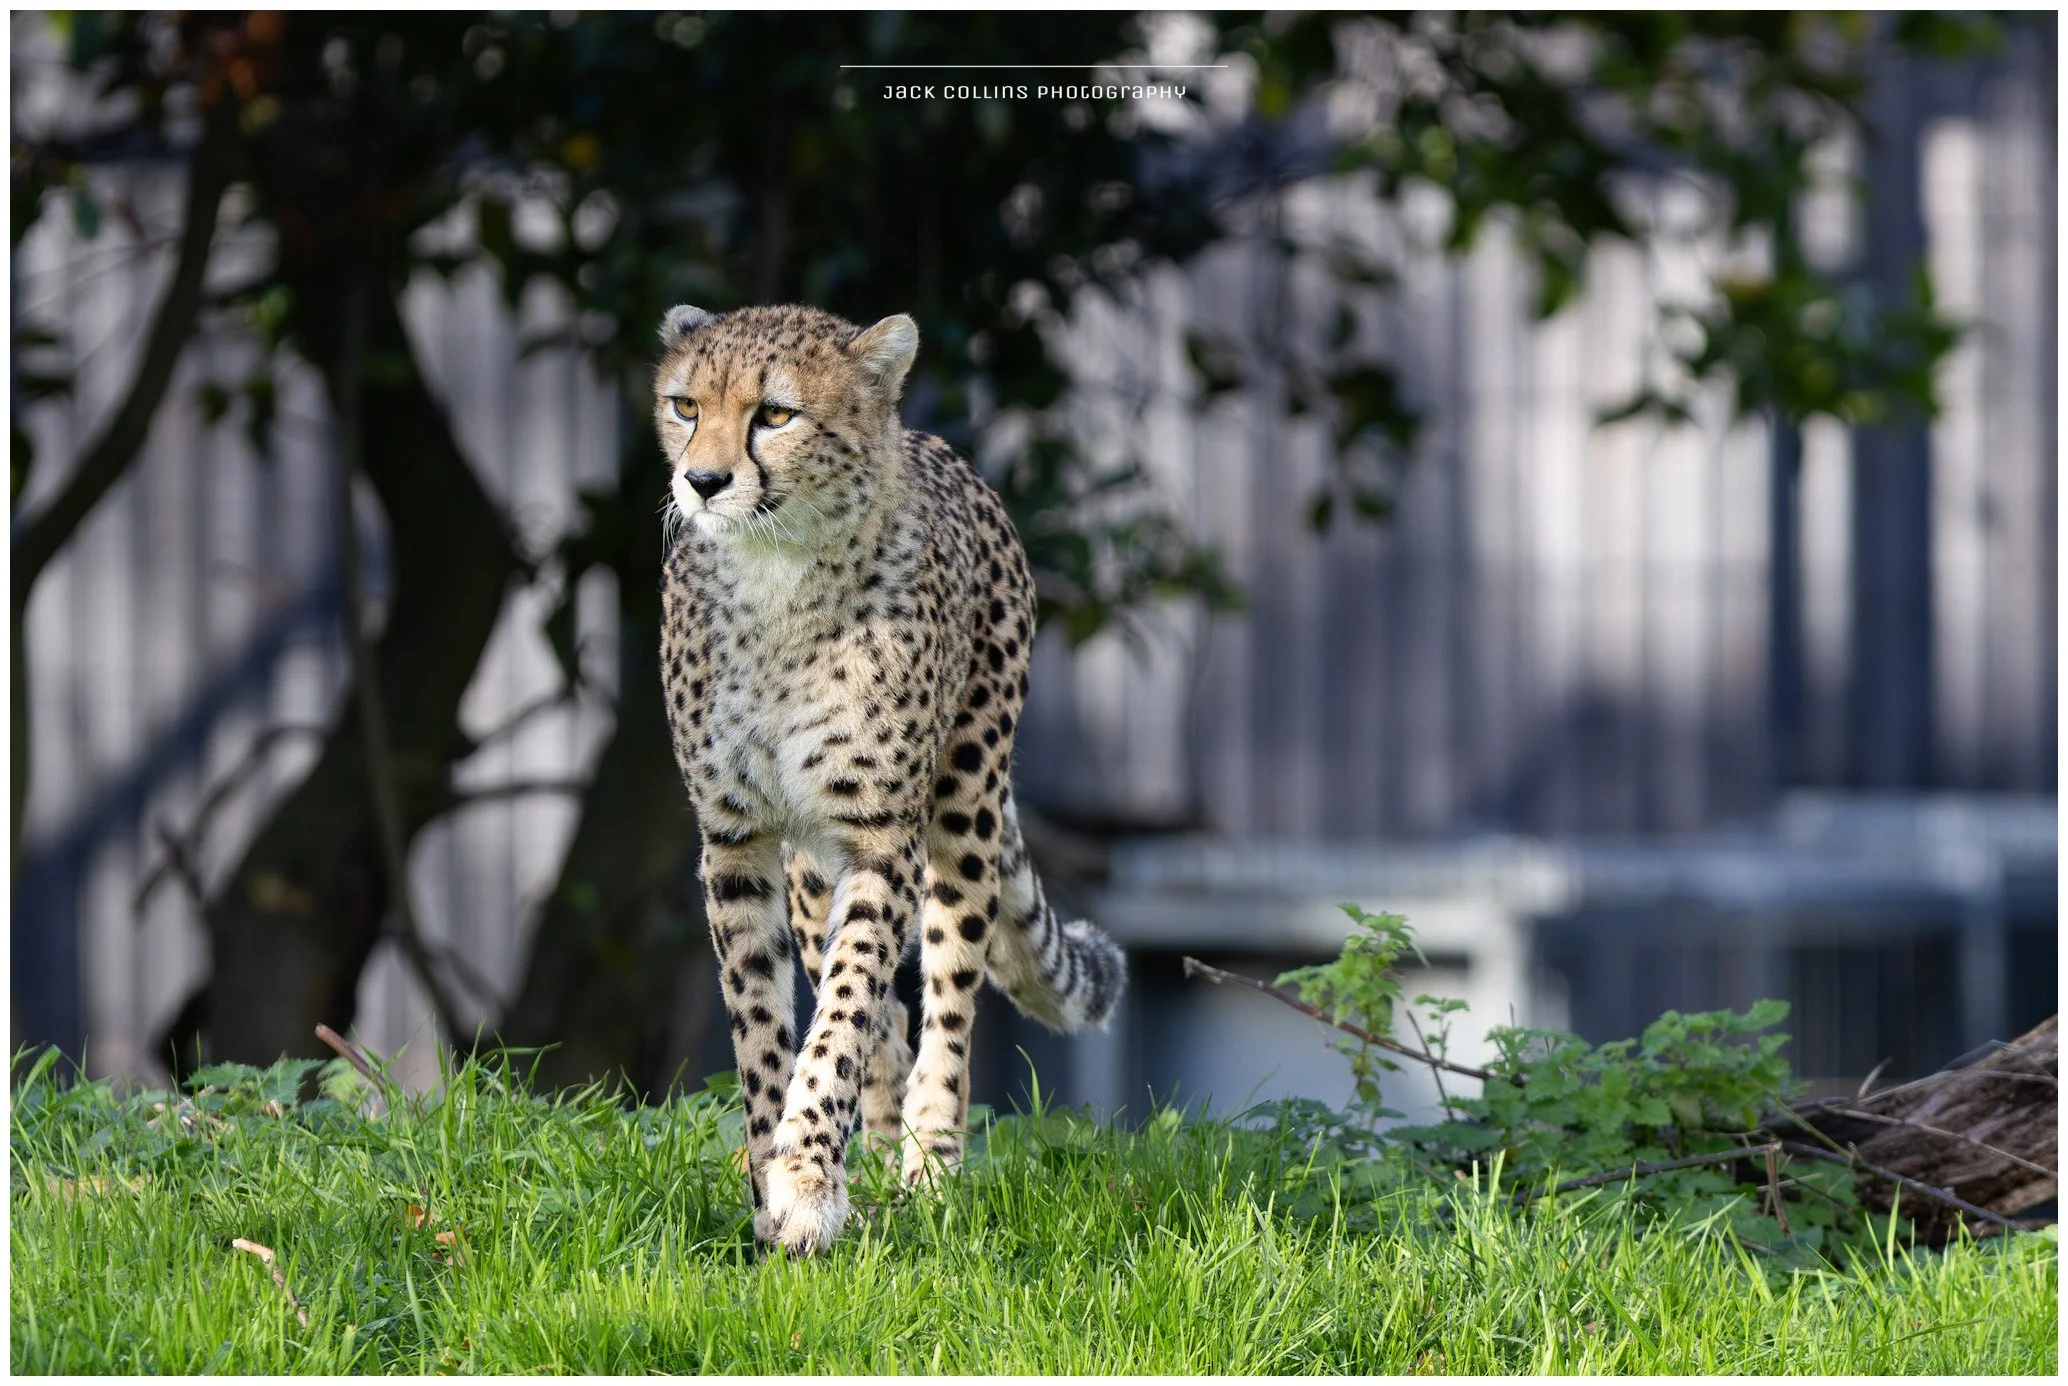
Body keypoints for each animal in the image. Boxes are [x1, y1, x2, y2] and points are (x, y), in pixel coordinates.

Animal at [653, 302, 1126, 1256]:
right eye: (685, 404)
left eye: (775, 414)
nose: (703, 481)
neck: (775, 575)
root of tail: (940, 446)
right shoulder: (736, 839)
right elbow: (765, 1026)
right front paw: (776, 1188)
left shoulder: (882, 836)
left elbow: (842, 1011)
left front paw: (803, 1178)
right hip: (810, 866)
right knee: (889, 1020)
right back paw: (867, 1160)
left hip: (966, 800)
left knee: (944, 1002)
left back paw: (927, 1172)